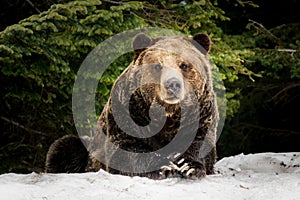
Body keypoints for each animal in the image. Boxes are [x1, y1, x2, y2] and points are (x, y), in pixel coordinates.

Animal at [45, 32, 218, 180]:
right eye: (158, 66)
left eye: (184, 65)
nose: (173, 84)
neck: (168, 116)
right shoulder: (129, 114)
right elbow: (127, 150)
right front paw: (164, 167)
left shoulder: (200, 116)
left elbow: (199, 145)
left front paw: (188, 166)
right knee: (64, 146)